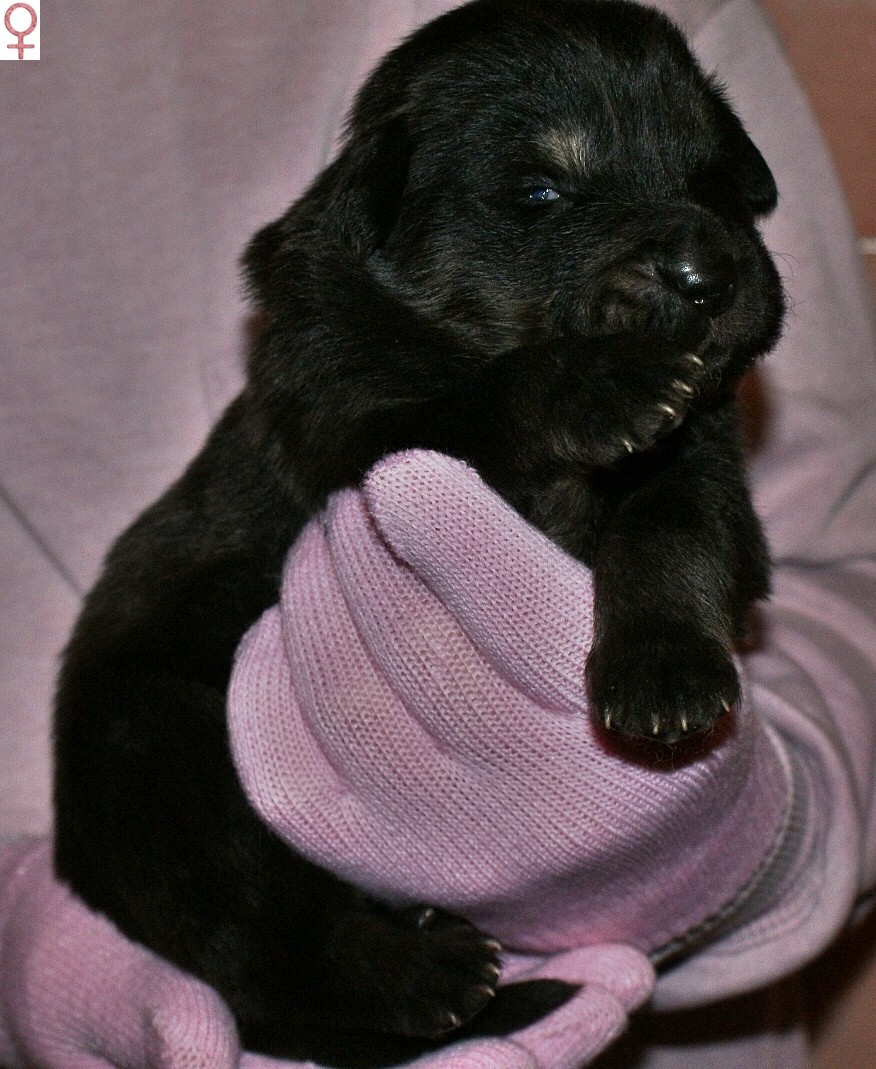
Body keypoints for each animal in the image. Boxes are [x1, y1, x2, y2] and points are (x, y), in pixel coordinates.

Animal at [53, 0, 784, 1063]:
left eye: (713, 179)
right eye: (540, 192)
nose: (708, 273)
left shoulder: (706, 460)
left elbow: (674, 526)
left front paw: (666, 672)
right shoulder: (348, 422)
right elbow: (480, 399)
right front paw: (601, 380)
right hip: (169, 761)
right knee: (262, 938)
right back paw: (425, 975)